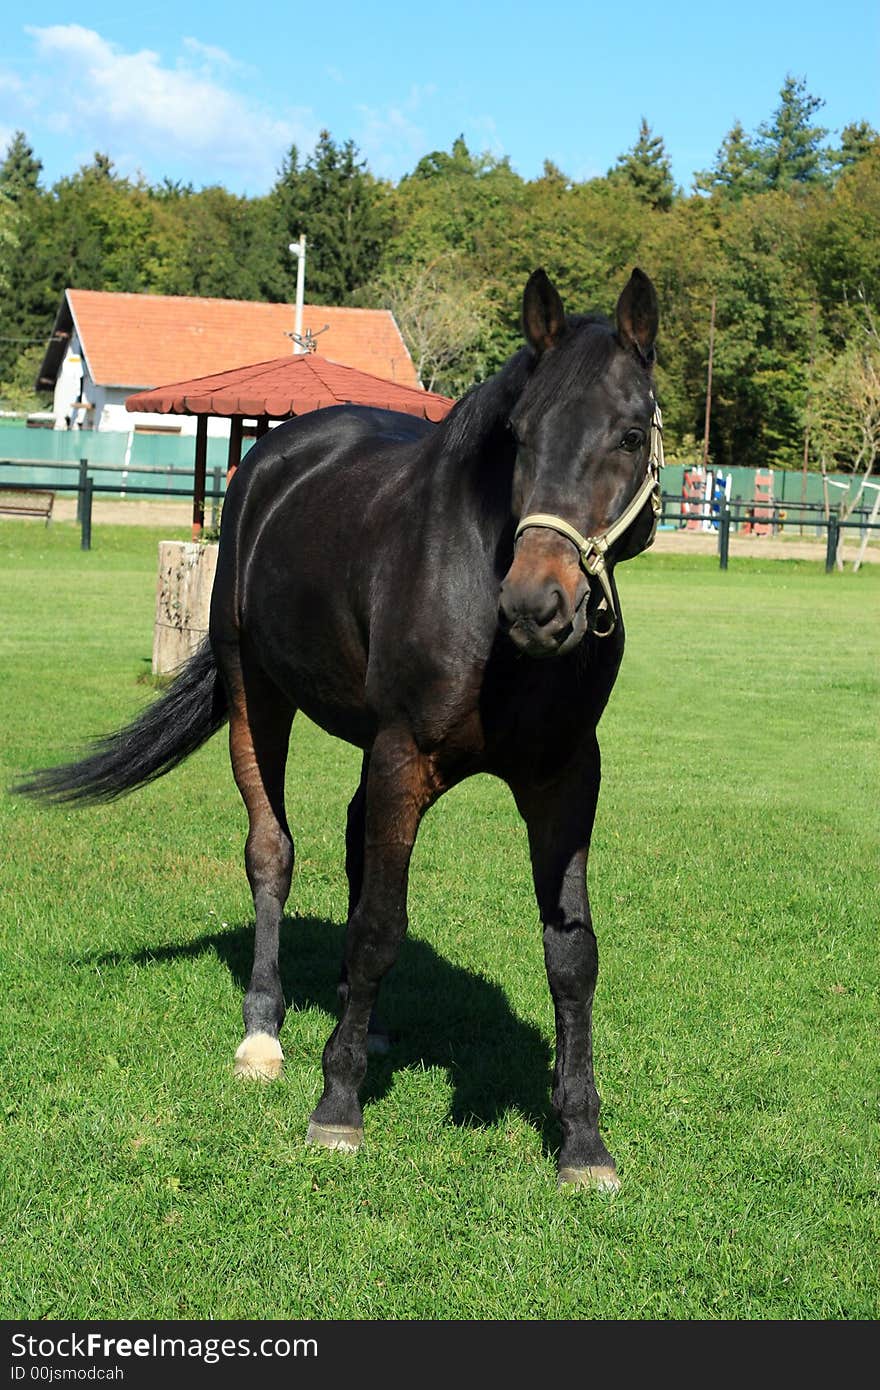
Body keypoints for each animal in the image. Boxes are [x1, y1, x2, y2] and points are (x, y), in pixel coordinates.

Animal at [17, 265, 661, 1189]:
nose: (538, 605)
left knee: (358, 851)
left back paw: (368, 1023)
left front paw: (582, 1140)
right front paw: (338, 1105)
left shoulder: (564, 779)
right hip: (258, 697)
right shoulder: (403, 757)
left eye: (631, 432)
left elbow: (571, 956)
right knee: (271, 853)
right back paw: (264, 1031)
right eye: (522, 435)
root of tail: (274, 458)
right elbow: (378, 927)